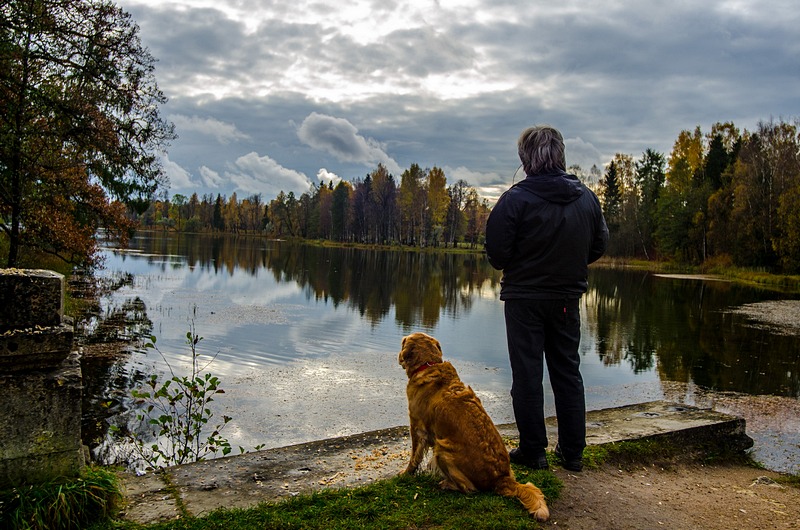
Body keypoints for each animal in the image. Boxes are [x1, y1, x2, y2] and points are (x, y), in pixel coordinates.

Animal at [396, 332, 548, 516]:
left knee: (468, 488)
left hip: (442, 449)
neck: (428, 365)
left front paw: (405, 473)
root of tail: (501, 478)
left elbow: (414, 456)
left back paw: (447, 484)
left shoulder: (417, 426)